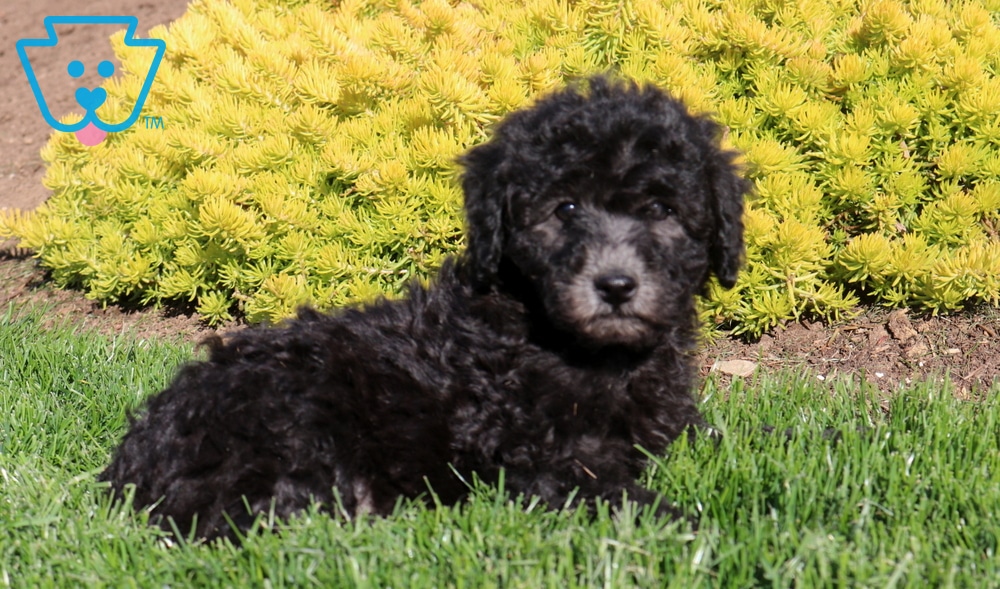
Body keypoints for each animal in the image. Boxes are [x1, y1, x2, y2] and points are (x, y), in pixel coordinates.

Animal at [100, 76, 748, 540]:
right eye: (564, 209)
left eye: (662, 211)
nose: (615, 286)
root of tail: (134, 464)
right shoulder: (544, 456)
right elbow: (621, 497)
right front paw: (699, 529)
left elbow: (721, 437)